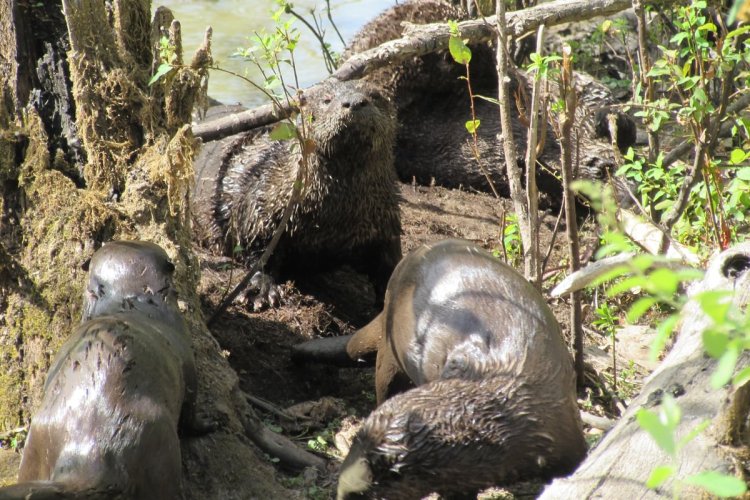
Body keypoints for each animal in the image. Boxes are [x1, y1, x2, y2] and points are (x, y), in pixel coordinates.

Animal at [1, 241, 204, 500]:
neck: (131, 304)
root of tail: (91, 453)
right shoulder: (188, 364)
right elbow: (191, 415)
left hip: (37, 440)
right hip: (159, 450)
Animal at [192, 79, 402, 309]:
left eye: (374, 96)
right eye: (327, 100)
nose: (354, 102)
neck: (334, 216)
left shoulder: (385, 218)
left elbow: (389, 261)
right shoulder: (260, 204)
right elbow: (258, 249)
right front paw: (261, 289)